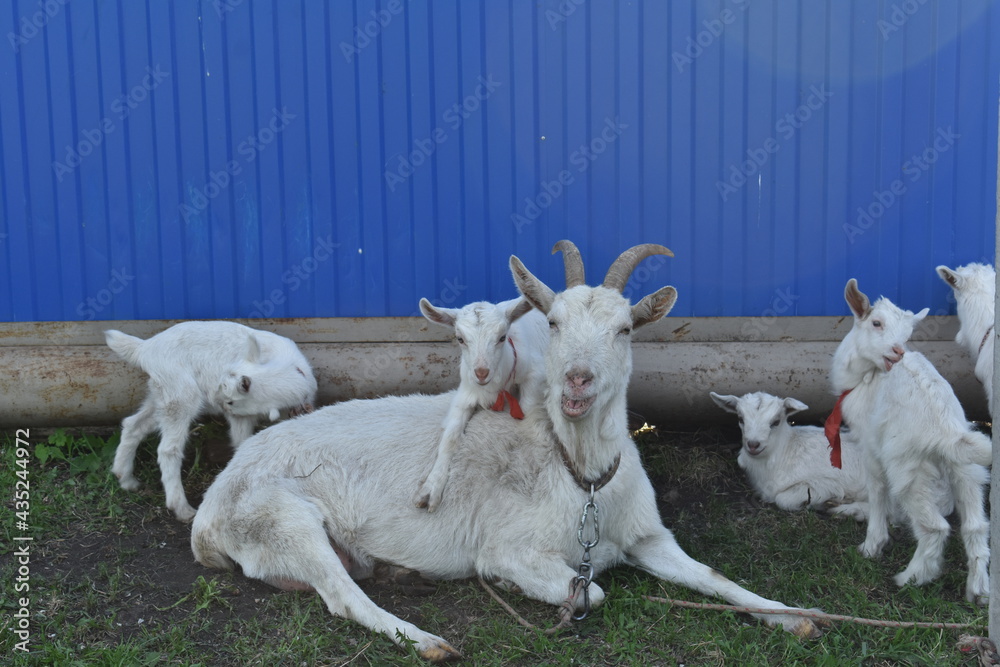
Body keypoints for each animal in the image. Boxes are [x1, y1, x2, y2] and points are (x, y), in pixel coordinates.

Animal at [105, 321, 317, 522]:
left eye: (230, 400)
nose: (215, 398)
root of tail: (145, 348)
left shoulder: (248, 414)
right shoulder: (239, 416)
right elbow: (242, 444)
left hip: (161, 394)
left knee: (133, 425)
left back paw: (125, 478)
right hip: (181, 395)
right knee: (167, 449)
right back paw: (181, 508)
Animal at [415, 295, 549, 511]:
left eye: (502, 337)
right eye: (460, 338)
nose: (481, 373)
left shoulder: (534, 374)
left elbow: (529, 418)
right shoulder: (465, 394)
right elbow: (450, 438)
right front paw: (430, 489)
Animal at [830, 279, 990, 604]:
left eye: (908, 334)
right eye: (876, 323)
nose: (897, 352)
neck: (865, 376)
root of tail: (946, 432)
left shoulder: (871, 445)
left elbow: (877, 490)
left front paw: (872, 545)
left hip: (909, 469)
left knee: (934, 527)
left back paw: (912, 578)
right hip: (967, 469)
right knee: (976, 526)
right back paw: (978, 591)